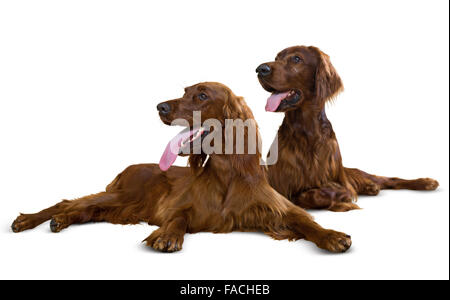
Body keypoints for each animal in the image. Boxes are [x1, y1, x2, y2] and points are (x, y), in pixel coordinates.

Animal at [10, 82, 352, 253]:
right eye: (185, 91)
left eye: (201, 95)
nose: (159, 106)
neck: (227, 175)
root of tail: (128, 168)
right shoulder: (180, 207)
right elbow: (178, 218)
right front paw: (168, 236)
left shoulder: (277, 208)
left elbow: (307, 222)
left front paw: (333, 235)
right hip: (121, 197)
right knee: (68, 202)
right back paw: (31, 219)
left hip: (119, 207)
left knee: (81, 210)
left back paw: (59, 221)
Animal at [256, 45, 440, 212]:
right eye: (276, 58)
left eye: (296, 59)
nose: (260, 69)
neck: (306, 130)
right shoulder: (280, 185)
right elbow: (305, 194)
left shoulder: (340, 179)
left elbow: (333, 190)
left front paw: (340, 195)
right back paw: (371, 188)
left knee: (388, 179)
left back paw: (426, 182)